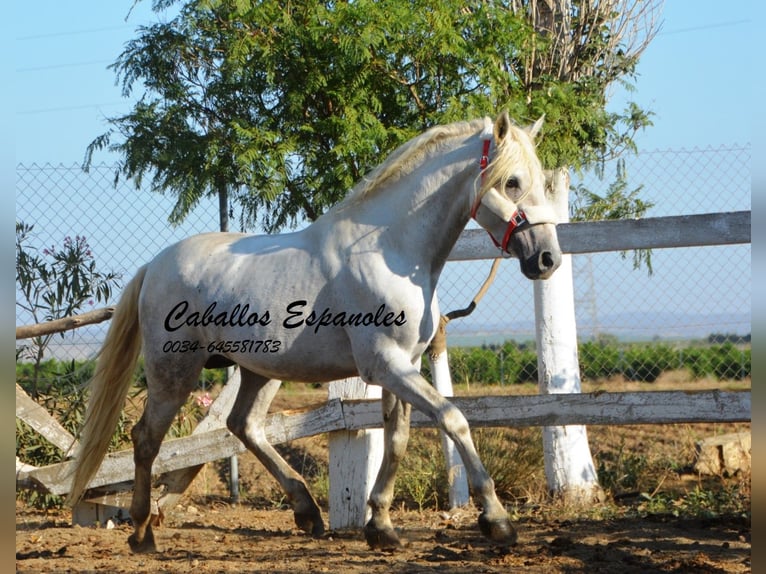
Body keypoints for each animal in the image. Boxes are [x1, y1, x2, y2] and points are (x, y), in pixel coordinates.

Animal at [69, 111, 560, 552]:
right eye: (512, 182)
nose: (547, 259)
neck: (388, 251)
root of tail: (154, 265)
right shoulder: (385, 365)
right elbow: (453, 418)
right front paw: (496, 521)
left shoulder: (403, 366)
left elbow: (397, 440)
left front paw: (381, 526)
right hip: (174, 370)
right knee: (147, 438)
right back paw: (141, 533)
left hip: (260, 369)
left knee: (243, 425)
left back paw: (307, 512)